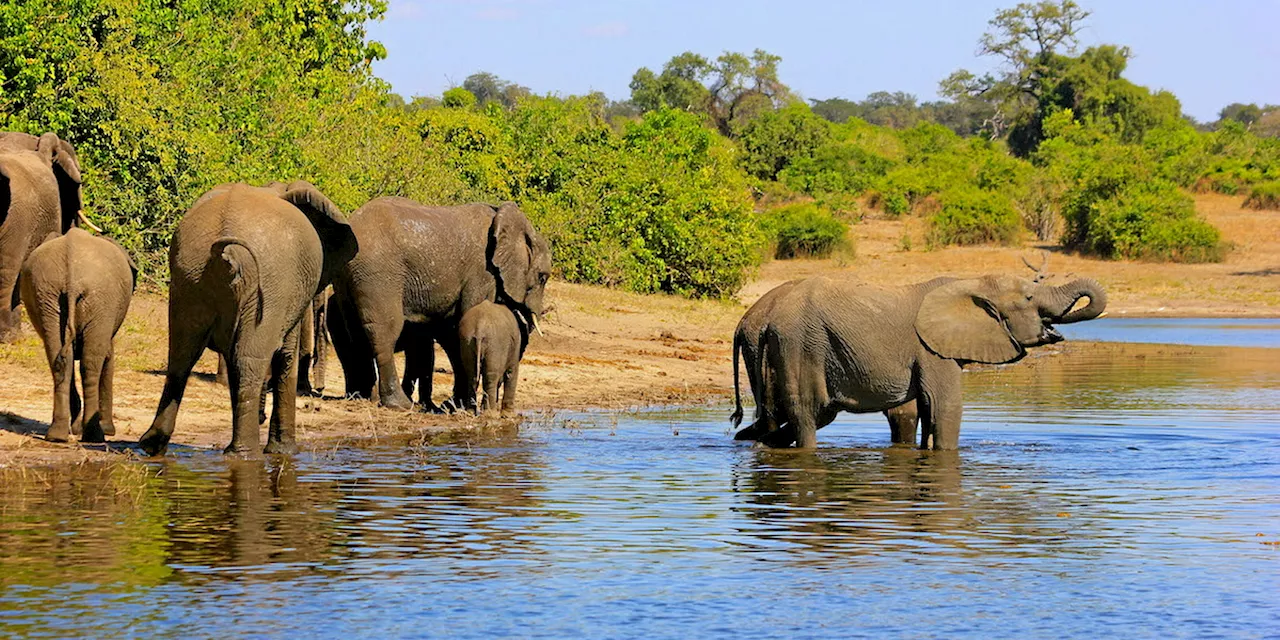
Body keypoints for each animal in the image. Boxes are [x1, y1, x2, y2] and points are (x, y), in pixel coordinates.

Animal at [18, 227, 137, 442]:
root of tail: (71, 279)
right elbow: (108, 359)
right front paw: (108, 430)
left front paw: (76, 429)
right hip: (100, 299)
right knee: (91, 363)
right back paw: (95, 435)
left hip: (48, 297)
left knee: (59, 361)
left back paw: (57, 436)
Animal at [140, 183, 358, 458]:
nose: (319, 391)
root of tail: (224, 248)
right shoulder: (286, 293)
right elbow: (285, 355)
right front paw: (284, 452)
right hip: (266, 284)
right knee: (249, 359)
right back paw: (246, 454)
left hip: (189, 277)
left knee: (181, 357)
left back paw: (152, 445)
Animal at [325, 197, 550, 412]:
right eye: (543, 278)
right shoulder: (482, 273)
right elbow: (465, 318)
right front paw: (459, 405)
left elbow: (453, 332)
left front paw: (453, 405)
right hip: (379, 275)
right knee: (385, 331)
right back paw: (399, 404)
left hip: (347, 278)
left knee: (355, 332)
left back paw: (365, 398)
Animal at [737, 273, 1105, 450]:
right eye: (1029, 298)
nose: (1052, 331)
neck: (971, 282)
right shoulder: (932, 351)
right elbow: (945, 407)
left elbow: (927, 410)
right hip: (801, 346)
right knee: (808, 415)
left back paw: (754, 443)